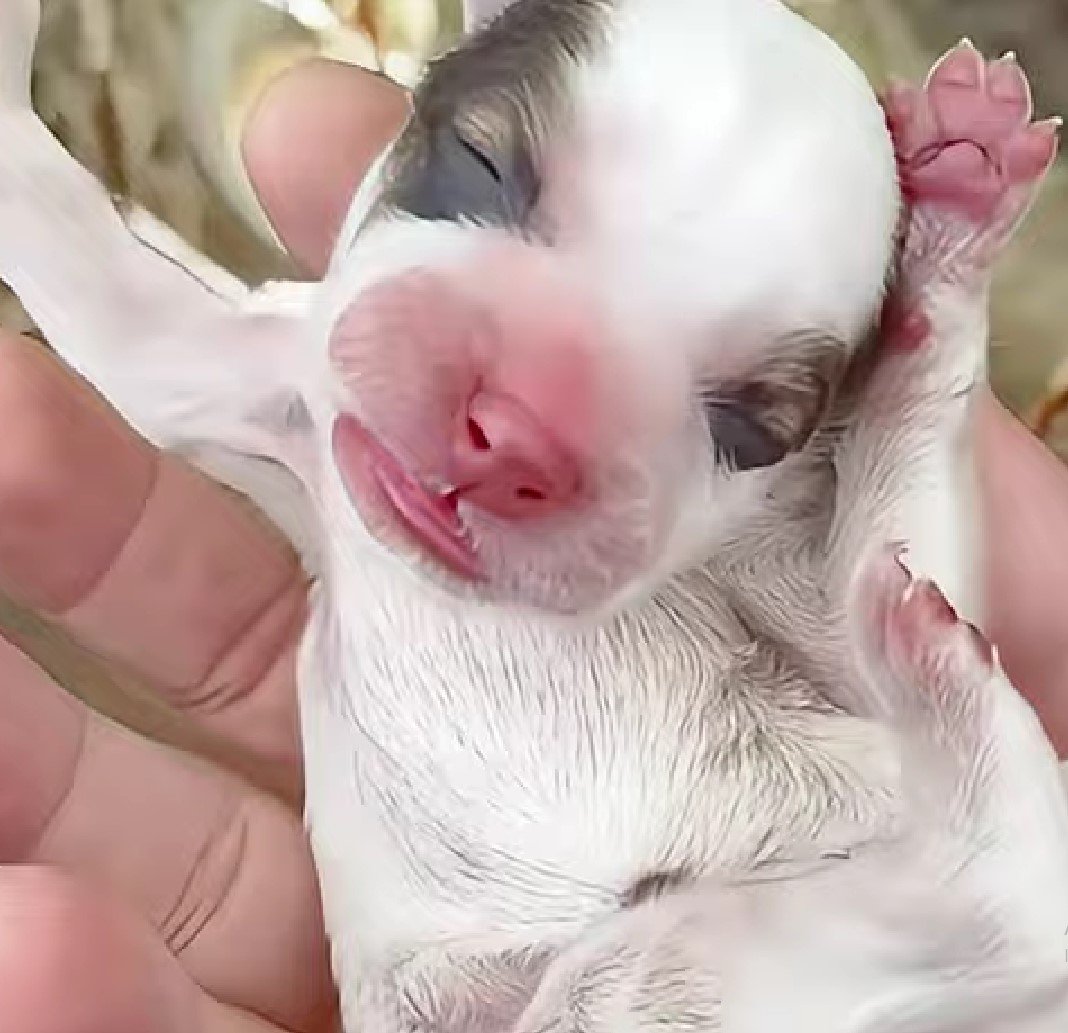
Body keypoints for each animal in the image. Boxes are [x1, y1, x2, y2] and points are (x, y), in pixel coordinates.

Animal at [2, 4, 1068, 1029]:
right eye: (480, 164)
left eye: (751, 423)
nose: (513, 434)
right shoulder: (256, 382)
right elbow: (112, 300)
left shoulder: (795, 582)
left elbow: (889, 562)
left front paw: (948, 245)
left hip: (648, 979)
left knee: (1009, 898)